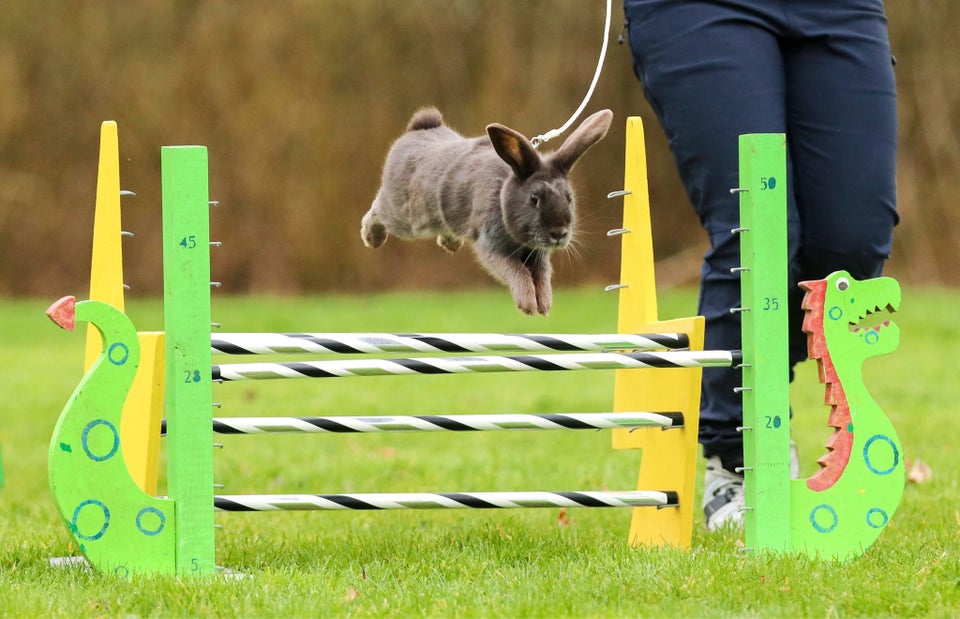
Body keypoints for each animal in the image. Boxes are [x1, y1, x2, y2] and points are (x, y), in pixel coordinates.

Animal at [360, 106, 616, 314]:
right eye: (534, 199)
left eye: (569, 198)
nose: (559, 233)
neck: (503, 198)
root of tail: (418, 129)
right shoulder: (492, 247)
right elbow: (518, 272)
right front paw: (528, 305)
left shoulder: (538, 256)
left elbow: (542, 277)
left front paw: (544, 305)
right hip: (406, 217)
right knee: (377, 210)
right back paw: (371, 238)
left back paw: (450, 244)